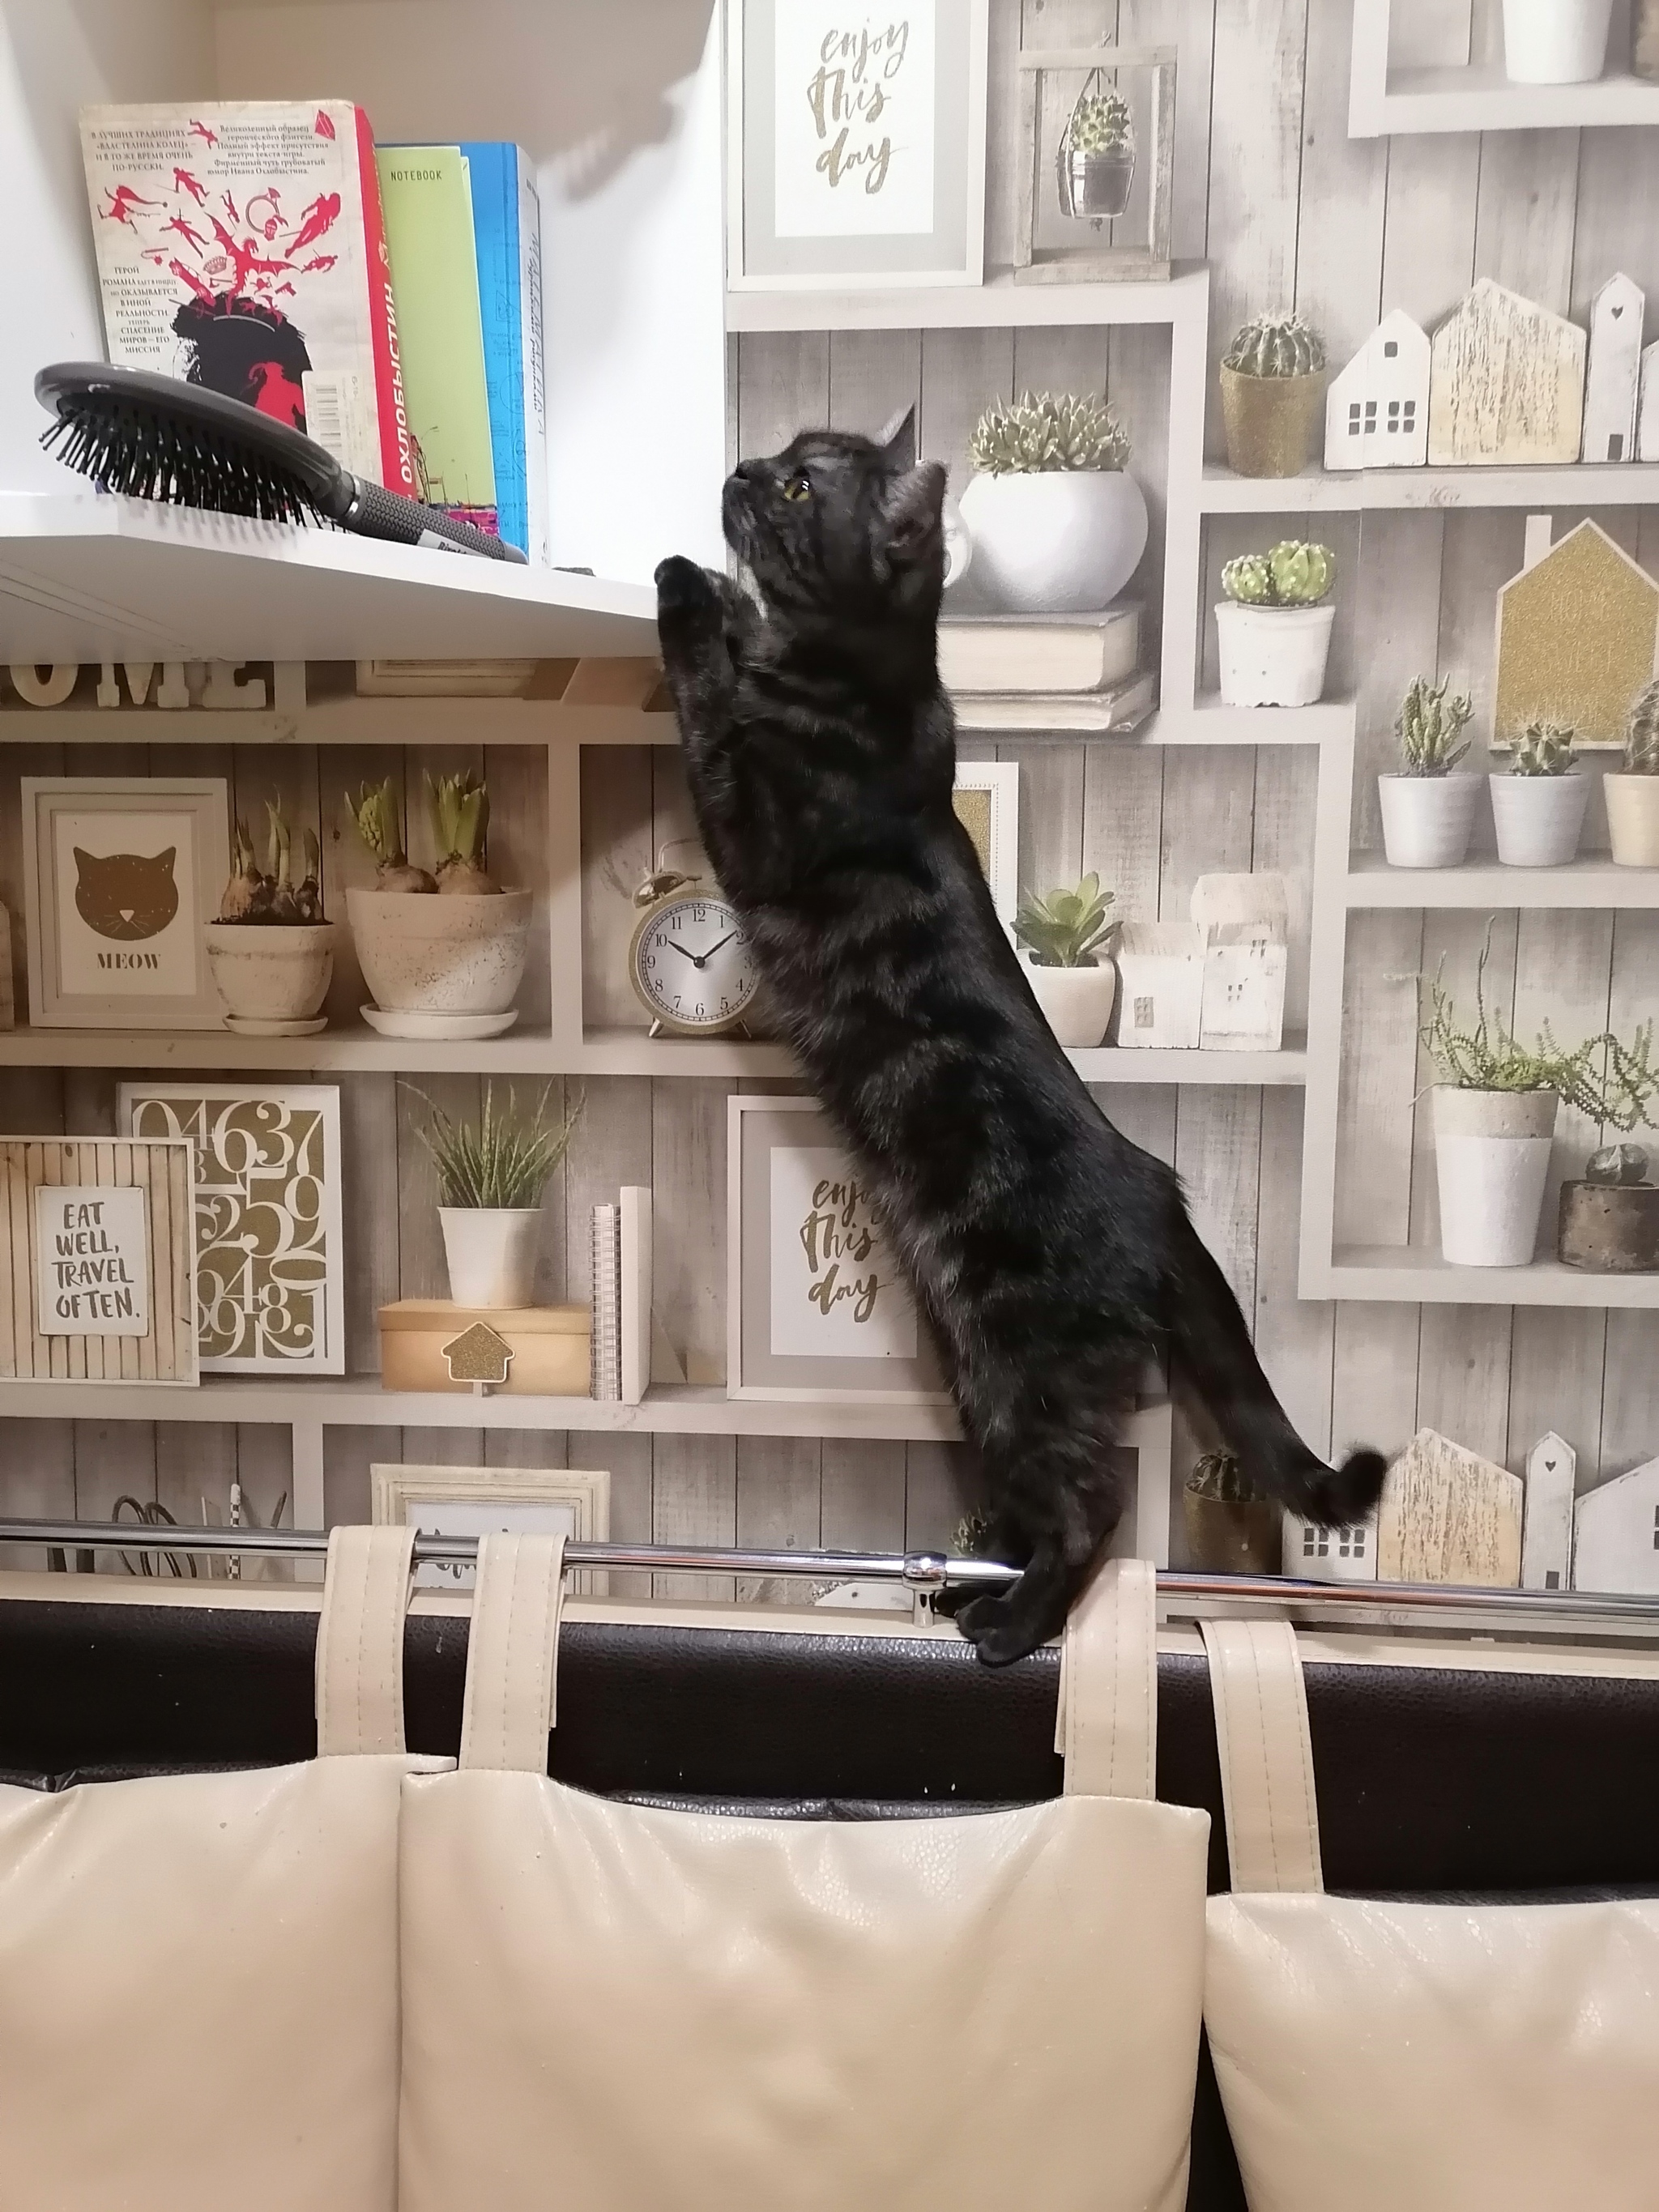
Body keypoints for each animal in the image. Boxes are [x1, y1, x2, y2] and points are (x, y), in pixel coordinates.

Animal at [655, 415, 1387, 1667]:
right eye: (780, 453)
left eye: (799, 485)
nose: (742, 470)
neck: (867, 681)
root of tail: (1161, 1200)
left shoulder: (750, 824)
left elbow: (708, 697)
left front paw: (690, 593)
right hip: (983, 1376)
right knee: (1043, 1500)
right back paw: (972, 1587)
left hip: (1021, 1367)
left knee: (1090, 1506)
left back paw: (1010, 1625)